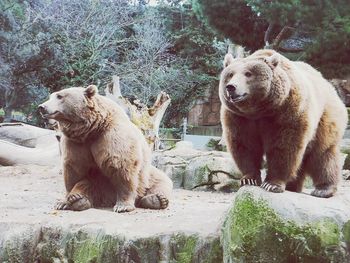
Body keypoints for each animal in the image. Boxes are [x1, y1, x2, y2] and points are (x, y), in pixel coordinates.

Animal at [39, 85, 173, 213]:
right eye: (51, 96)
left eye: (59, 96)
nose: (42, 107)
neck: (91, 129)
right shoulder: (76, 142)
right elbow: (75, 169)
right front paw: (64, 201)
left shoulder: (111, 136)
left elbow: (122, 166)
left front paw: (123, 206)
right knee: (88, 183)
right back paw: (77, 199)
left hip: (147, 176)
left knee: (161, 181)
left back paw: (157, 199)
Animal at [219, 49, 348, 198]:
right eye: (230, 74)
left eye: (248, 73)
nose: (231, 87)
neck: (260, 110)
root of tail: (328, 85)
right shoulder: (239, 117)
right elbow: (245, 145)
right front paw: (249, 179)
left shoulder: (288, 111)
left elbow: (284, 146)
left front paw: (272, 184)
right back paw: (294, 186)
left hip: (324, 117)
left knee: (322, 154)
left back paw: (323, 189)